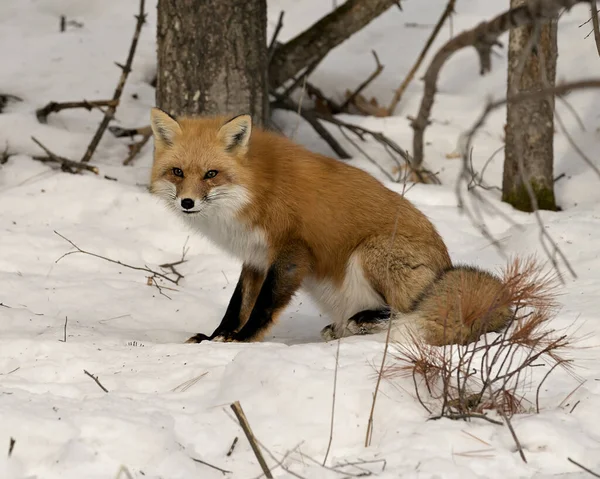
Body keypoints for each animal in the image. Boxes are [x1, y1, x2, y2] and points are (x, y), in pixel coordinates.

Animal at [149, 109, 510, 344]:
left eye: (211, 174)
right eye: (178, 172)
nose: (187, 203)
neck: (255, 190)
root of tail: (445, 267)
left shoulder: (291, 250)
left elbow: (263, 305)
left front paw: (243, 339)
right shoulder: (255, 256)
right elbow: (237, 304)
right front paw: (217, 336)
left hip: (372, 252)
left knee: (407, 310)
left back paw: (365, 321)